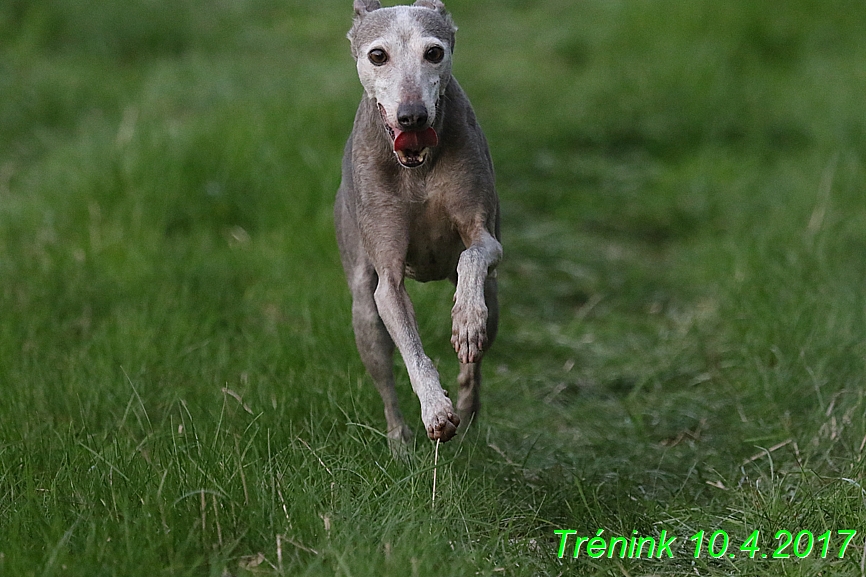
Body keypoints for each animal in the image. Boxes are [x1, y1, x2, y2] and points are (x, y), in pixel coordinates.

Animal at [336, 0, 502, 446]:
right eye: (378, 55)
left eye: (434, 52)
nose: (412, 117)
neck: (417, 169)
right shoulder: (388, 278)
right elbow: (409, 342)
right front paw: (435, 409)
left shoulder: (485, 234)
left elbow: (474, 255)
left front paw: (466, 321)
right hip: (363, 311)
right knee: (383, 376)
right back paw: (399, 441)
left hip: (495, 302)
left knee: (476, 359)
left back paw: (469, 406)